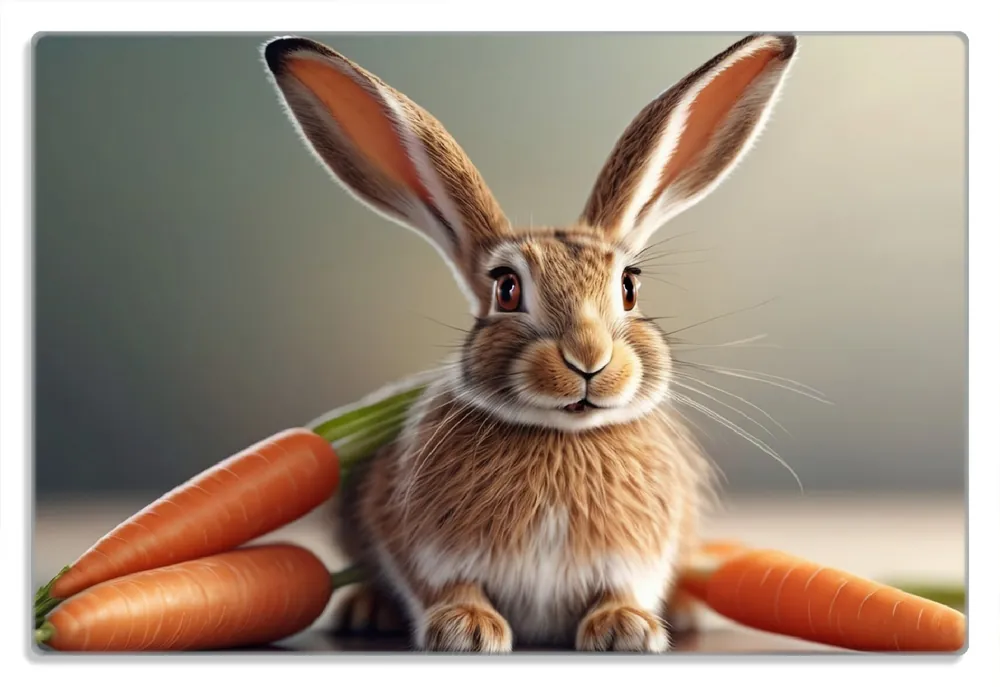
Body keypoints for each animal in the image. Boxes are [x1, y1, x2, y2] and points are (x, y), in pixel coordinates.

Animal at [261, 33, 799, 652]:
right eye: (507, 289)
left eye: (629, 286)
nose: (589, 358)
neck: (562, 434)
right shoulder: (421, 547)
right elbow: (446, 587)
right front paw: (466, 630)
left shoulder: (639, 556)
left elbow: (623, 589)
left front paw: (627, 629)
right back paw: (368, 610)